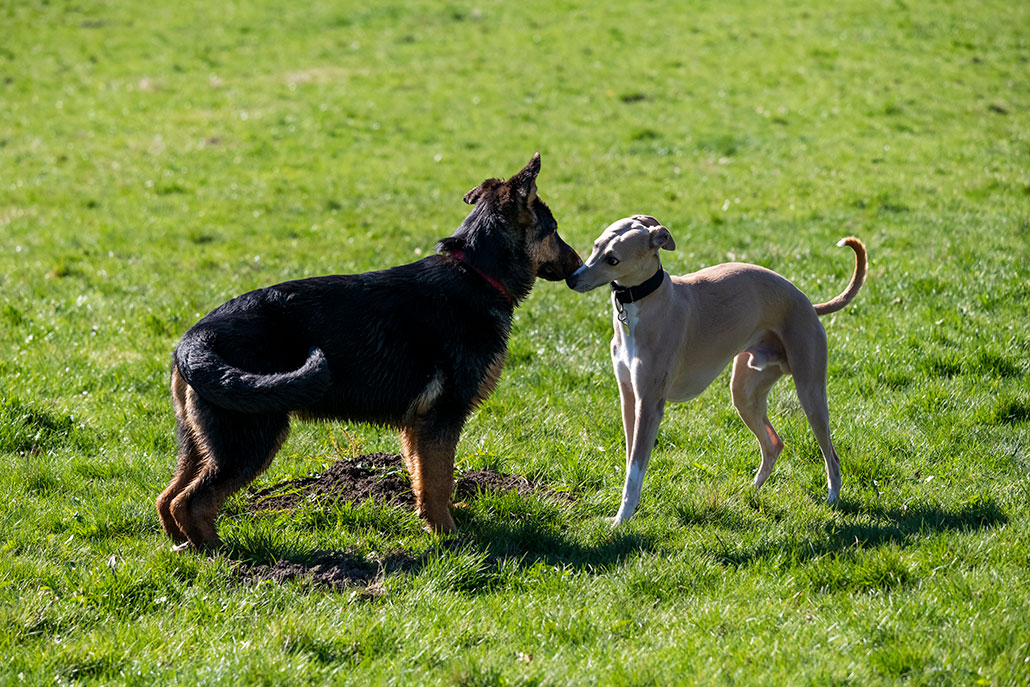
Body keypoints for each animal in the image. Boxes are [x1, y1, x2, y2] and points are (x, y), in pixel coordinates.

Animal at [156, 153, 585, 552]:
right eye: (554, 230)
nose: (580, 265)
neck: (477, 273)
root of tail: (197, 337)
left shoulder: (418, 426)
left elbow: (422, 477)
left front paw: (433, 522)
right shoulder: (443, 417)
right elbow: (439, 480)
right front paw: (448, 535)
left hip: (201, 442)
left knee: (167, 496)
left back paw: (182, 546)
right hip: (248, 441)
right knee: (190, 502)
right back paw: (219, 554)